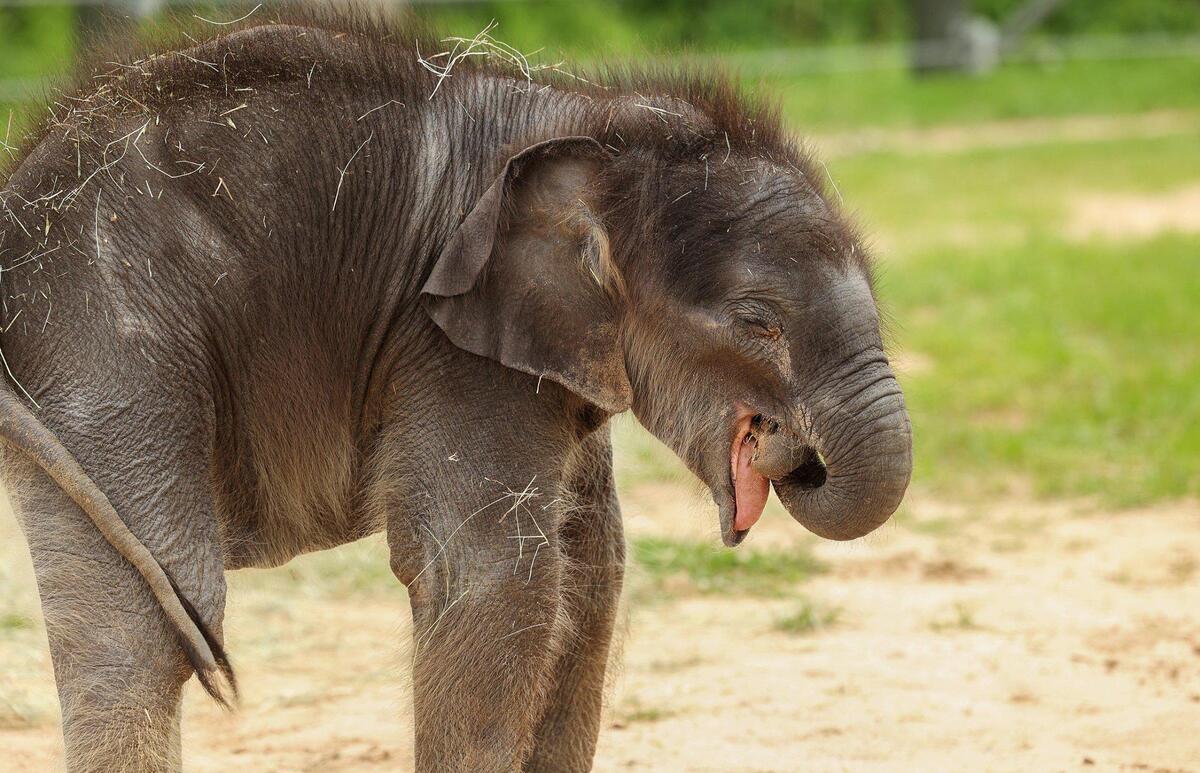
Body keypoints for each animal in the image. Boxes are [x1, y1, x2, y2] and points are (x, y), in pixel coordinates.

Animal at [0, 11, 911, 772]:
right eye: (758, 323)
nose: (793, 450)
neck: (598, 121)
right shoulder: (448, 345)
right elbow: (490, 576)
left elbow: (591, 572)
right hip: (107, 336)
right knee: (148, 625)